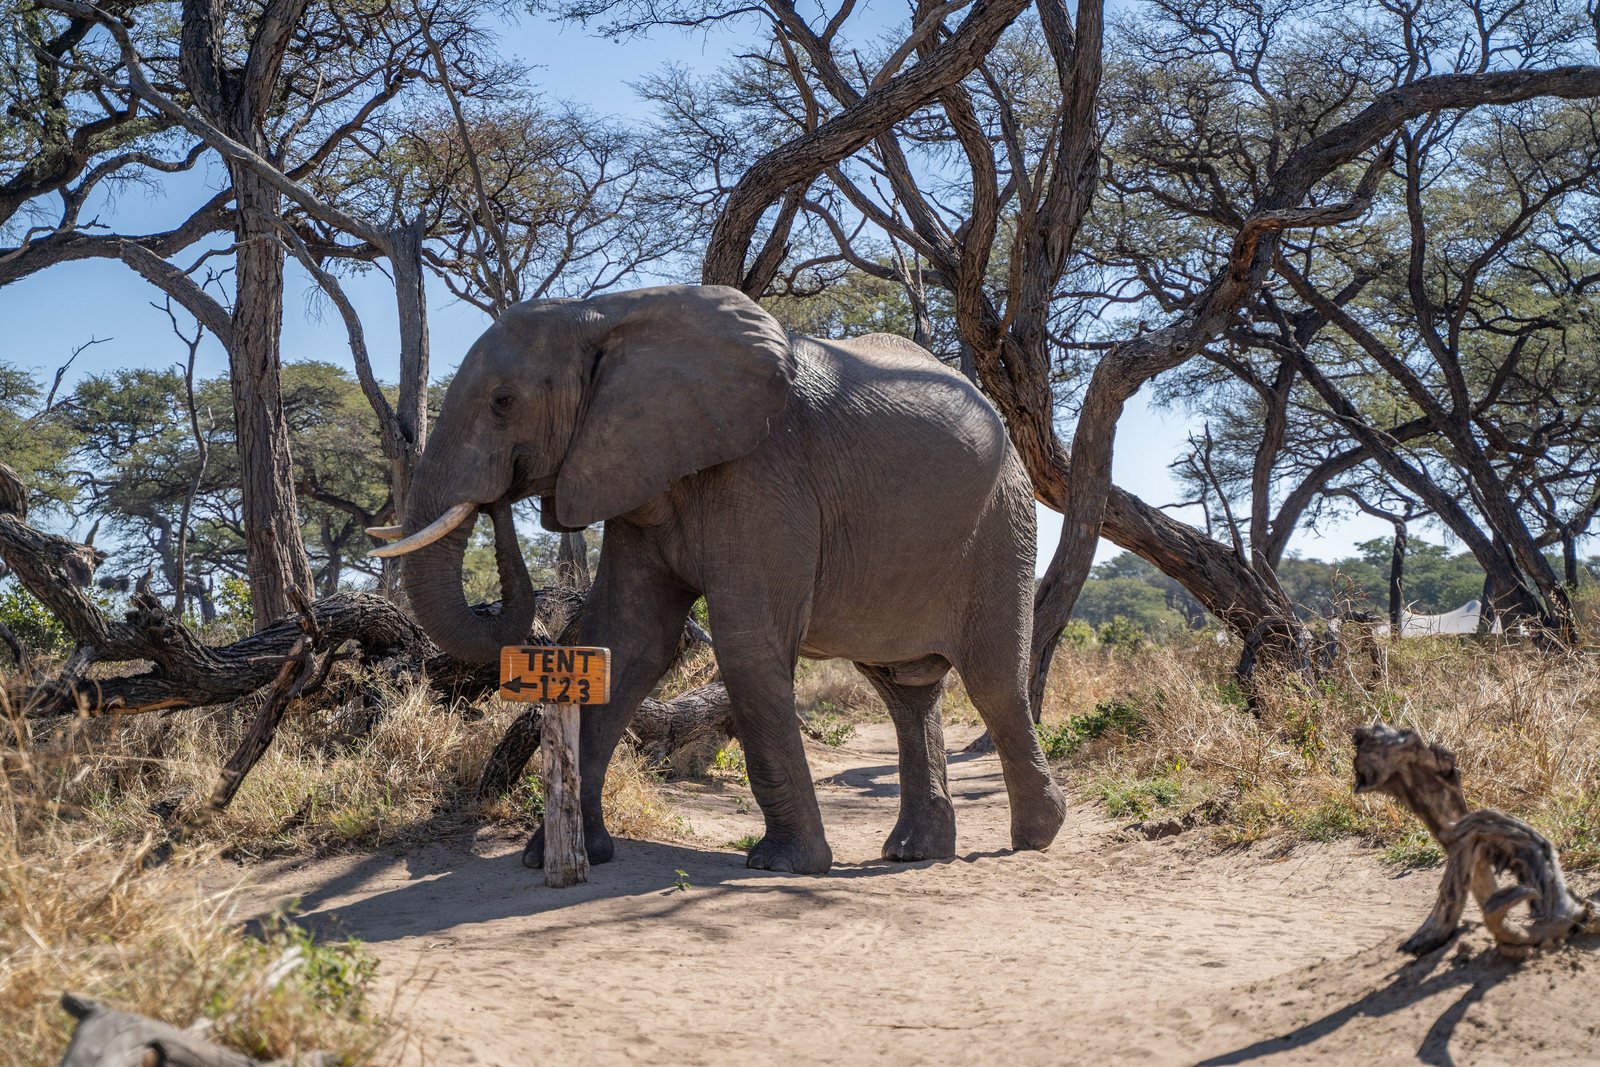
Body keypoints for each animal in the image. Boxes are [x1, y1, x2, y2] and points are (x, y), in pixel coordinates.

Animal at [377, 284, 1066, 874]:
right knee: (905, 689)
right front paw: (555, 855)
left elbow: (747, 646)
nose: (499, 504)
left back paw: (1038, 836)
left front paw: (783, 866)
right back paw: (915, 852)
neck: (604, 313)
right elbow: (627, 640)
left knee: (994, 680)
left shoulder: (764, 474)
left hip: (1003, 520)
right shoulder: (639, 472)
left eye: (503, 401)